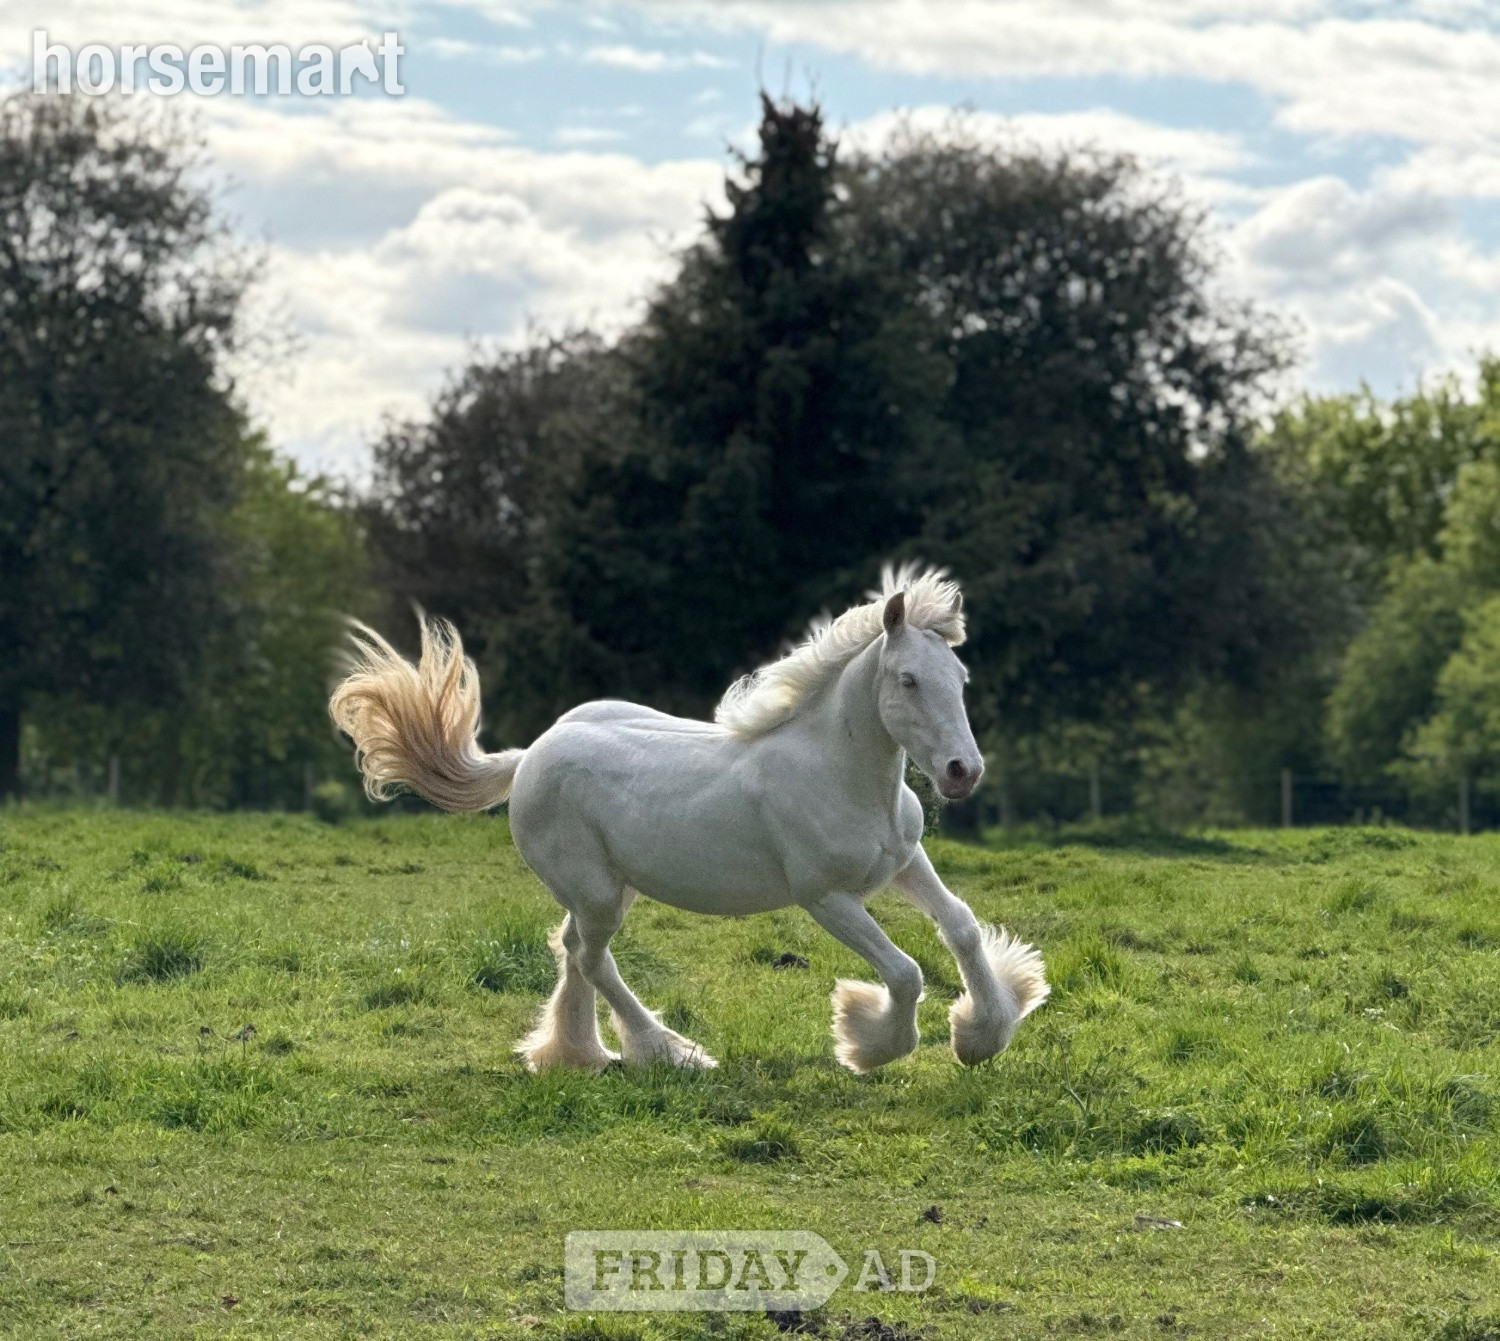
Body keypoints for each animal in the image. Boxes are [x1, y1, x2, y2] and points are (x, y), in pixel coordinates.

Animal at [329, 564, 1048, 1074]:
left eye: (960, 677)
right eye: (906, 680)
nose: (962, 771)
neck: (840, 774)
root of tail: (530, 753)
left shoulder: (904, 862)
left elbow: (961, 926)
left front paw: (981, 1036)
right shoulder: (826, 897)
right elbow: (904, 972)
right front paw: (865, 1042)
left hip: (608, 888)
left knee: (570, 949)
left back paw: (578, 1055)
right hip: (597, 890)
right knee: (591, 957)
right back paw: (672, 1053)